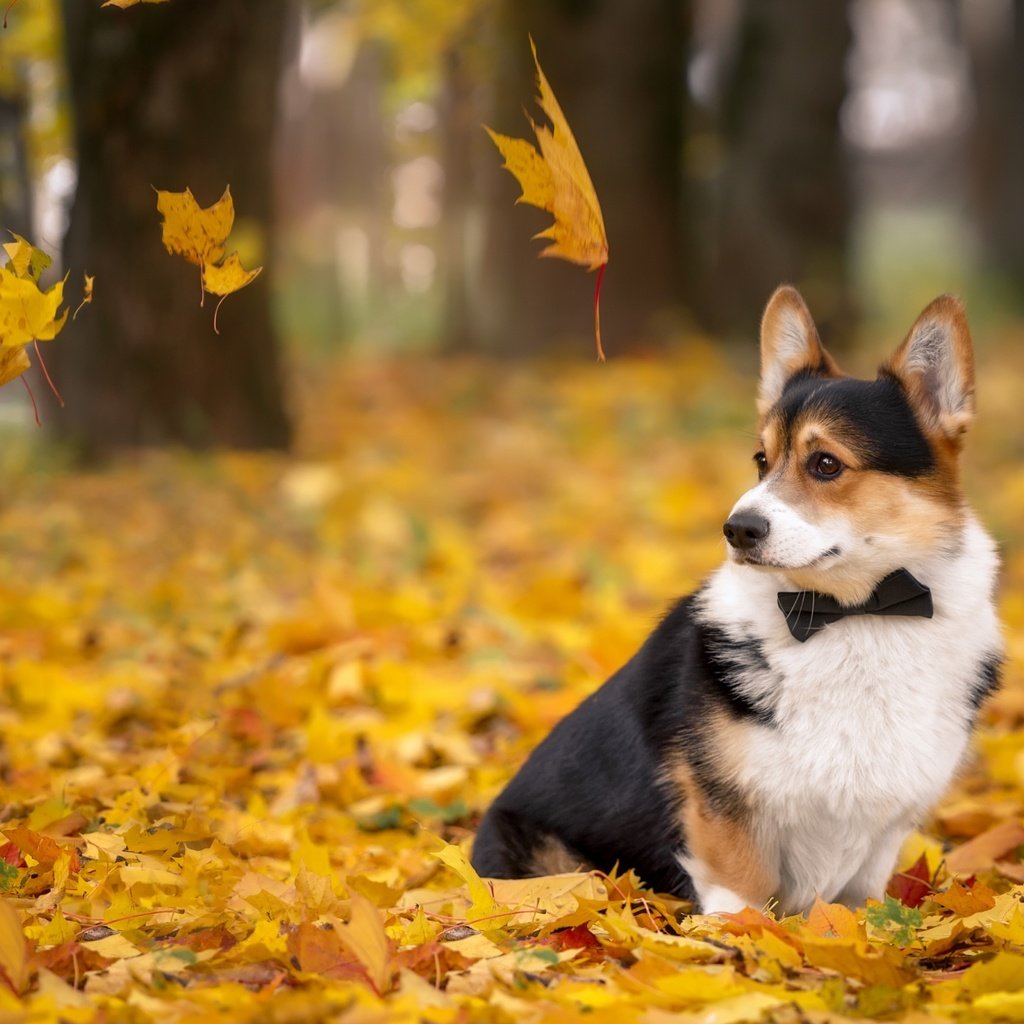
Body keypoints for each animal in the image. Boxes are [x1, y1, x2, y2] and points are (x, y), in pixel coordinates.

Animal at [471, 286, 999, 913]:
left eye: (826, 463)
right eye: (761, 461)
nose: (737, 529)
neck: (853, 613)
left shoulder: (883, 832)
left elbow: (857, 904)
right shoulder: (724, 806)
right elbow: (741, 891)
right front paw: (740, 938)